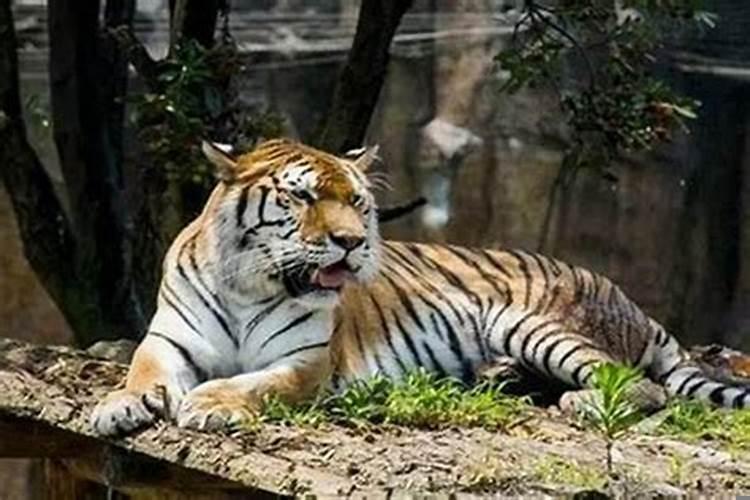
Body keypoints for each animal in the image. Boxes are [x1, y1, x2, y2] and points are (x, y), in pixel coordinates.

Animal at [91, 138, 749, 436]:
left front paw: (211, 403)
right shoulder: (168, 340)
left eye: (358, 202)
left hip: (533, 323)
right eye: (303, 196)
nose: (352, 241)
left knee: (640, 387)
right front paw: (119, 405)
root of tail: (632, 303)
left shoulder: (305, 362)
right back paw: (501, 378)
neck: (251, 286)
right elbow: (142, 370)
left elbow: (258, 383)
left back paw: (579, 402)